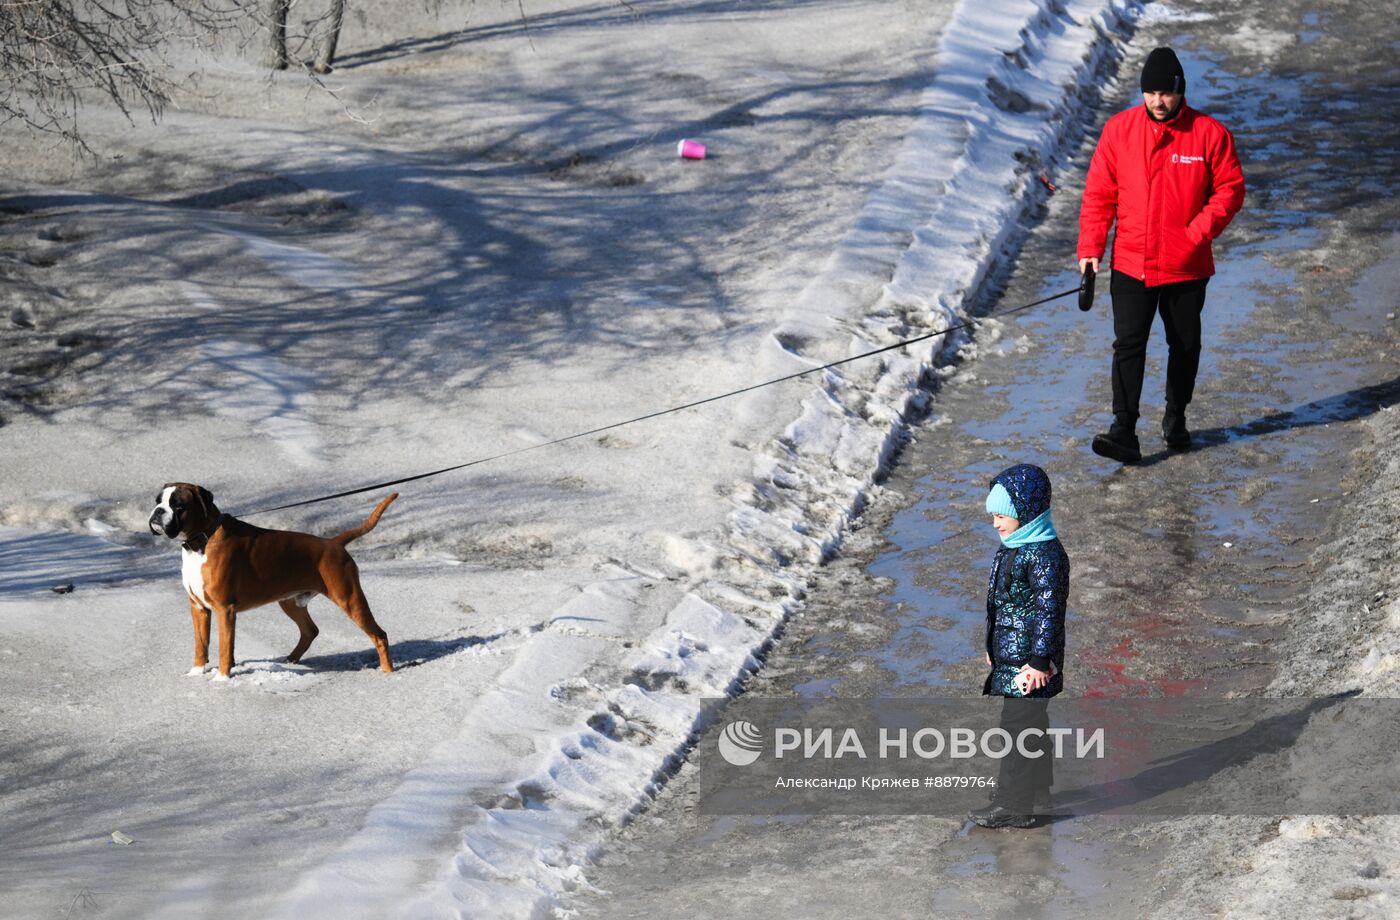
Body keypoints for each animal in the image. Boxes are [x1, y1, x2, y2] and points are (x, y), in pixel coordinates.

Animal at [149, 484, 397, 677]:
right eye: (158, 501)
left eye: (178, 505)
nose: (158, 511)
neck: (202, 540)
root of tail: (334, 543)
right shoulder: (199, 608)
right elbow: (201, 644)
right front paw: (196, 673)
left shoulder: (224, 609)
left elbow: (224, 647)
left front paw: (222, 679)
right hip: (290, 602)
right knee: (310, 631)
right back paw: (289, 662)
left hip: (350, 599)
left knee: (379, 635)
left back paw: (387, 672)